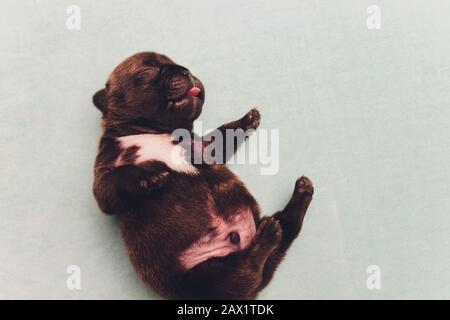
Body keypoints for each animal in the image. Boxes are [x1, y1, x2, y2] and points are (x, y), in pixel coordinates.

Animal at [93, 51, 314, 298]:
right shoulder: (103, 178)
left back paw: (299, 196)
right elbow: (115, 179)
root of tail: (258, 286)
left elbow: (224, 134)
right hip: (204, 279)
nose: (185, 71)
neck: (155, 131)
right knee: (245, 268)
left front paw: (247, 120)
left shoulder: (205, 148)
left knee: (288, 228)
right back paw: (267, 235)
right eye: (146, 71)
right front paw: (147, 178)